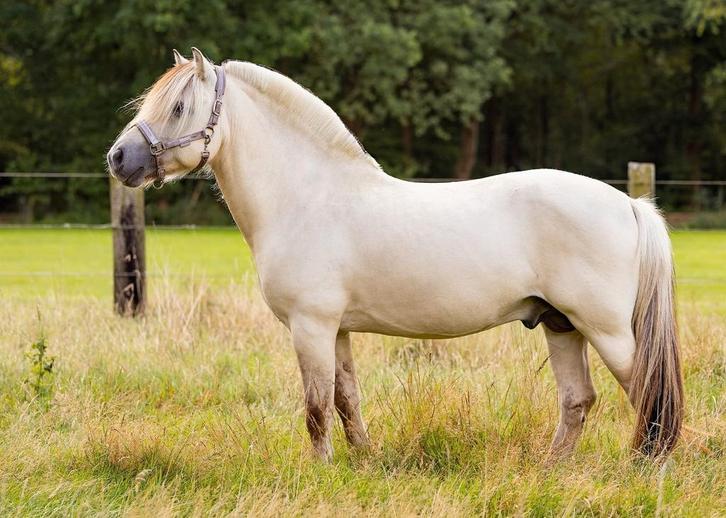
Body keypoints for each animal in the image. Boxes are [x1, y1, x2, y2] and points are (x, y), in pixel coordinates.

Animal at [107, 48, 683, 461]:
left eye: (178, 107)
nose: (118, 158)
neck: (308, 197)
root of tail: (628, 204)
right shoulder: (336, 330)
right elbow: (346, 399)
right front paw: (363, 461)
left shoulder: (311, 326)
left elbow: (316, 406)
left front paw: (321, 470)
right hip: (561, 324)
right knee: (578, 401)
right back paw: (551, 468)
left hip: (605, 329)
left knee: (646, 393)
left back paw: (647, 467)